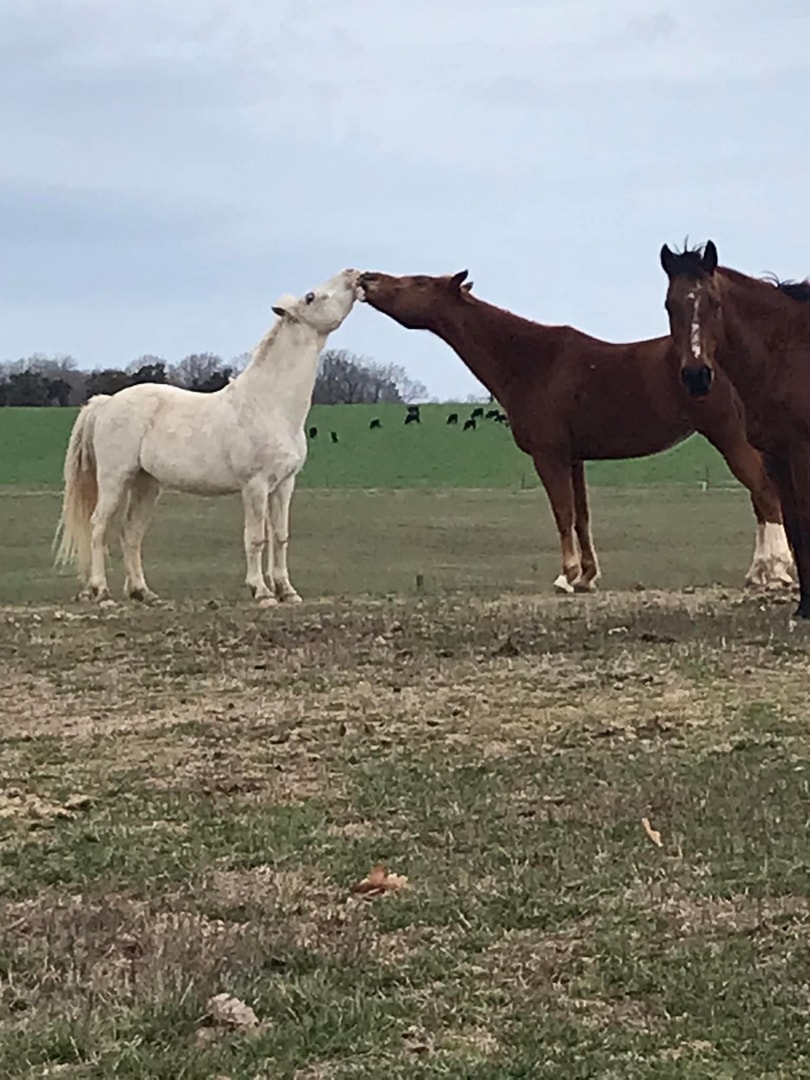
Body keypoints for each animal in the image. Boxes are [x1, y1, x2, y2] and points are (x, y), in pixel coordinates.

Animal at [54, 269, 360, 605]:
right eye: (311, 296)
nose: (354, 274)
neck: (269, 403)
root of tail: (107, 402)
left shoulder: (283, 485)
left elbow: (280, 537)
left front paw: (287, 591)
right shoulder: (255, 486)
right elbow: (256, 538)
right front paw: (261, 591)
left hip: (146, 483)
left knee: (130, 533)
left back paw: (144, 592)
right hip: (115, 479)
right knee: (98, 527)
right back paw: (101, 591)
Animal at [357, 269, 794, 594]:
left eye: (419, 281)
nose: (366, 278)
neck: (532, 362)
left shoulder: (549, 455)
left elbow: (562, 512)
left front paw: (565, 577)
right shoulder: (575, 457)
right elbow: (582, 515)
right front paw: (587, 576)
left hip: (729, 438)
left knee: (764, 494)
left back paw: (776, 573)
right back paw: (759, 573)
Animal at [660, 240, 810, 618]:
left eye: (713, 302)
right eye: (670, 304)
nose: (697, 376)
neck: (786, 351)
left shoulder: (802, 451)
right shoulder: (777, 456)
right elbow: (795, 527)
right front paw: (804, 607)